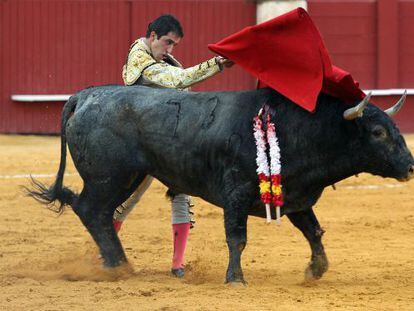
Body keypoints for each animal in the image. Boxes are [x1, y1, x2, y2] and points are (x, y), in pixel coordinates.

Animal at [28, 86, 414, 286]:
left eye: (394, 129)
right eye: (377, 132)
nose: (410, 166)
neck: (300, 130)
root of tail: (85, 95)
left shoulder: (296, 196)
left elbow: (313, 231)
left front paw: (315, 270)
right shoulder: (237, 193)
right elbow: (237, 238)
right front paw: (235, 278)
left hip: (125, 178)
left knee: (101, 215)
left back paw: (117, 263)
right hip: (111, 177)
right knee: (92, 210)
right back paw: (119, 265)